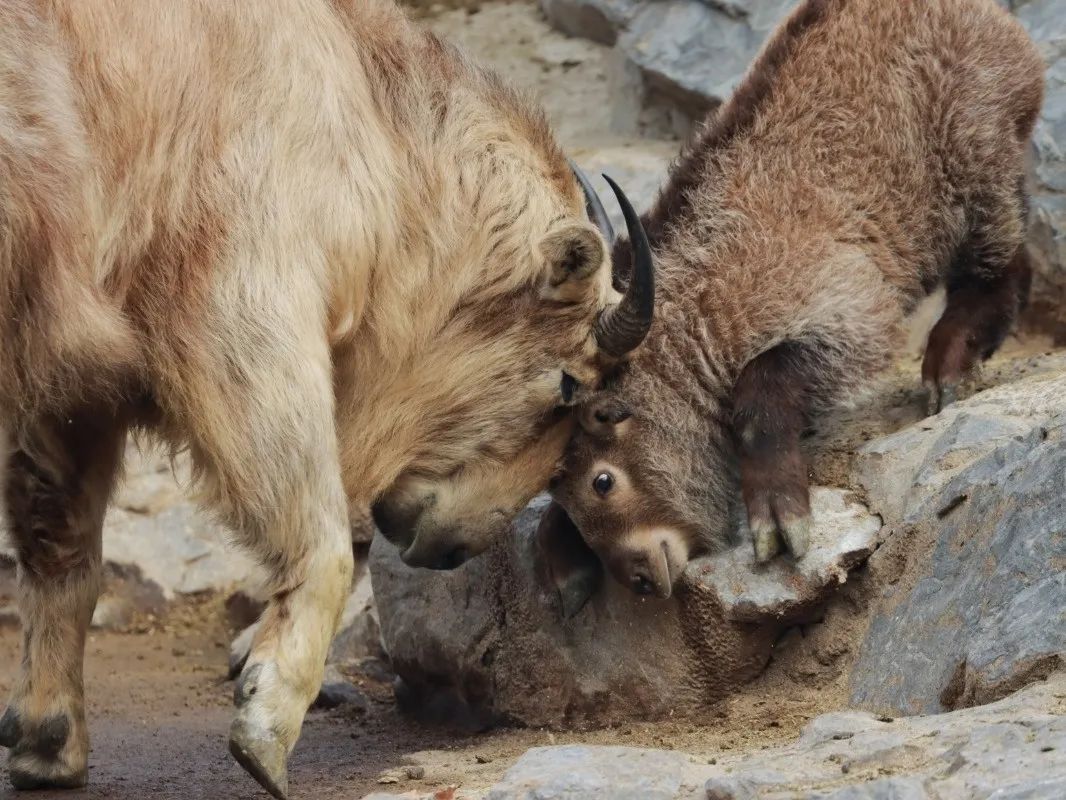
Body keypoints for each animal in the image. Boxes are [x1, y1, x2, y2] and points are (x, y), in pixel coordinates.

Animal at [0, 3, 652, 797]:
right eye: (567, 384)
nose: (456, 549)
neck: (367, 109)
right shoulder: (241, 297)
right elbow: (319, 529)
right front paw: (268, 716)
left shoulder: (70, 380)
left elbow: (59, 546)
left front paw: (47, 739)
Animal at [545, 0, 1044, 605]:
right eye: (565, 491)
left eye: (603, 479)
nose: (638, 577)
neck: (709, 294)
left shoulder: (850, 313)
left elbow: (760, 390)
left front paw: (778, 516)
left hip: (979, 169)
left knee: (1009, 264)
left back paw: (949, 364)